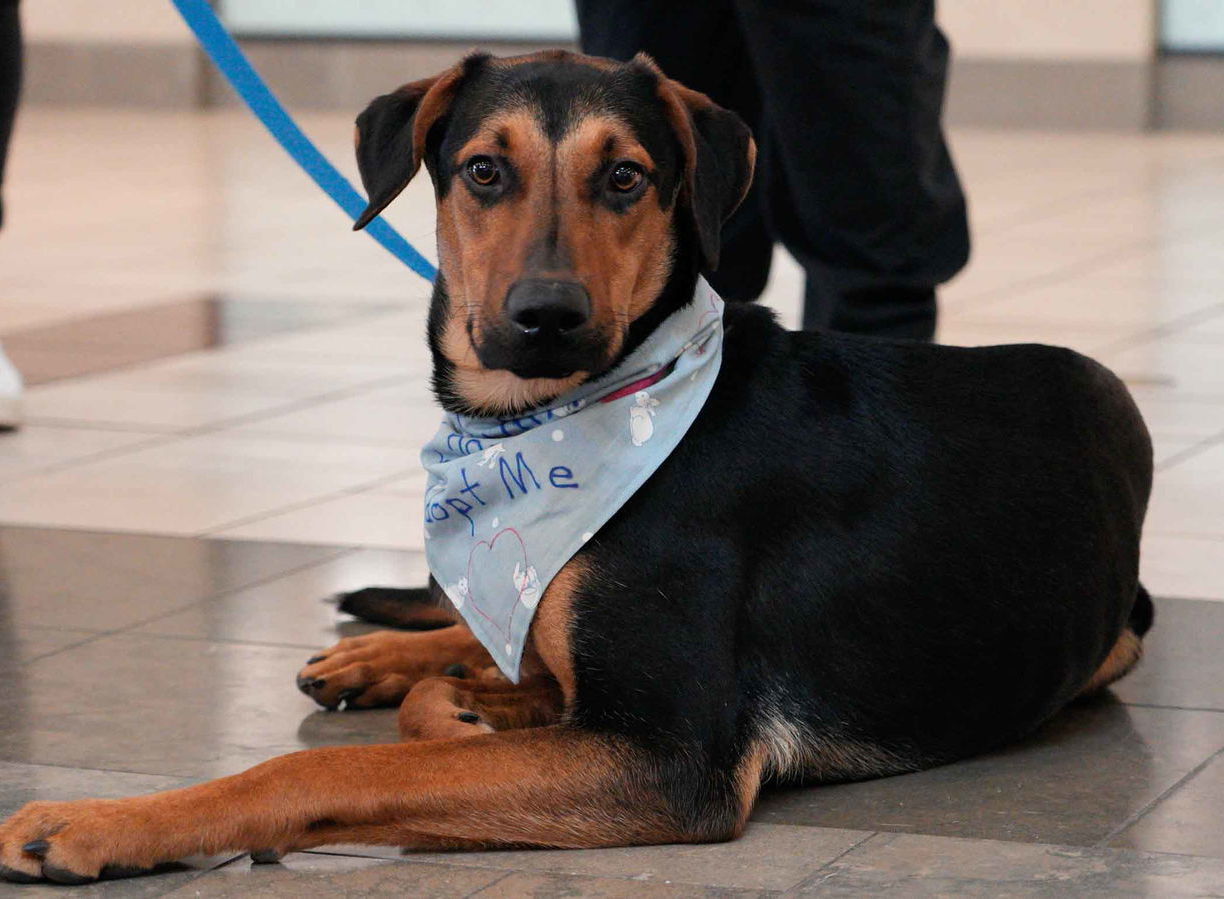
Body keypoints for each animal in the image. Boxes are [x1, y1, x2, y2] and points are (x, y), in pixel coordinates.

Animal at [0, 51, 1150, 886]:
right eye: (484, 170)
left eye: (625, 177)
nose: (545, 316)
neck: (541, 428)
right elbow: (461, 700)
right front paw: (442, 685)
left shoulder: (667, 757)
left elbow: (334, 763)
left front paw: (94, 821)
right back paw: (384, 655)